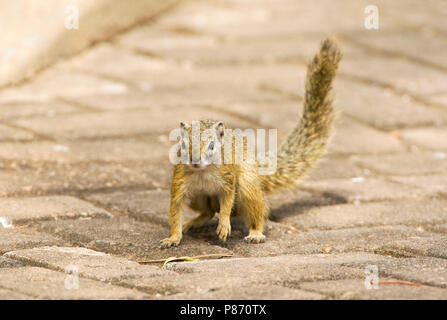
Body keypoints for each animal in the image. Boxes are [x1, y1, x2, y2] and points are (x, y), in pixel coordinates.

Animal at [161, 37, 344, 248]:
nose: (195, 161)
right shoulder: (180, 183)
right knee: (208, 211)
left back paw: (255, 233)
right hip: (198, 198)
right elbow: (175, 211)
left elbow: (226, 203)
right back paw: (194, 222)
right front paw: (173, 237)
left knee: (254, 211)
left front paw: (224, 225)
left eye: (212, 146)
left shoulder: (228, 178)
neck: (203, 173)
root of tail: (257, 169)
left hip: (248, 186)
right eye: (182, 145)